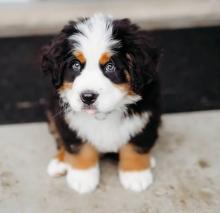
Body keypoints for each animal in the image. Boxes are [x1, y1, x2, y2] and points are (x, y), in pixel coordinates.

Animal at [40, 12, 160, 193]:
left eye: (110, 66)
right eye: (76, 65)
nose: (88, 96)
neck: (103, 115)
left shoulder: (145, 117)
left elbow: (135, 145)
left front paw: (135, 175)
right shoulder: (69, 121)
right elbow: (78, 147)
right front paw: (82, 178)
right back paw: (60, 162)